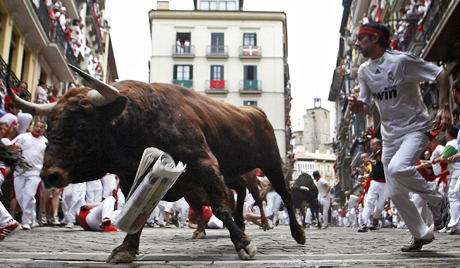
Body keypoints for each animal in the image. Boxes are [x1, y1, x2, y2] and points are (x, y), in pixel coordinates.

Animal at [7, 66, 306, 262]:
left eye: (81, 124)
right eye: (49, 126)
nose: (50, 175)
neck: (143, 117)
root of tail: (256, 111)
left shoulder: (205, 163)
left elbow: (221, 207)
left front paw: (244, 244)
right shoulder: (134, 178)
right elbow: (137, 211)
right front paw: (126, 248)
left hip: (270, 162)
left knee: (285, 195)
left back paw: (297, 232)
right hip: (238, 172)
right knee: (243, 195)